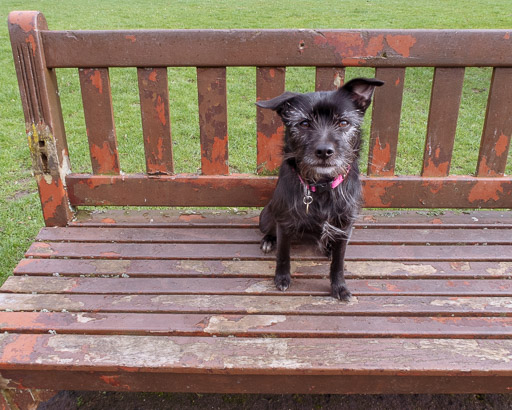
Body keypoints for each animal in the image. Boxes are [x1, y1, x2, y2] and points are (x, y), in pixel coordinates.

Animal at [258, 77, 382, 302]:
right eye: (304, 123)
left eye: (343, 122)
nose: (324, 151)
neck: (322, 185)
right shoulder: (285, 222)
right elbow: (283, 254)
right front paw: (282, 278)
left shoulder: (345, 225)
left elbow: (338, 264)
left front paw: (339, 287)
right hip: (266, 217)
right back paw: (268, 240)